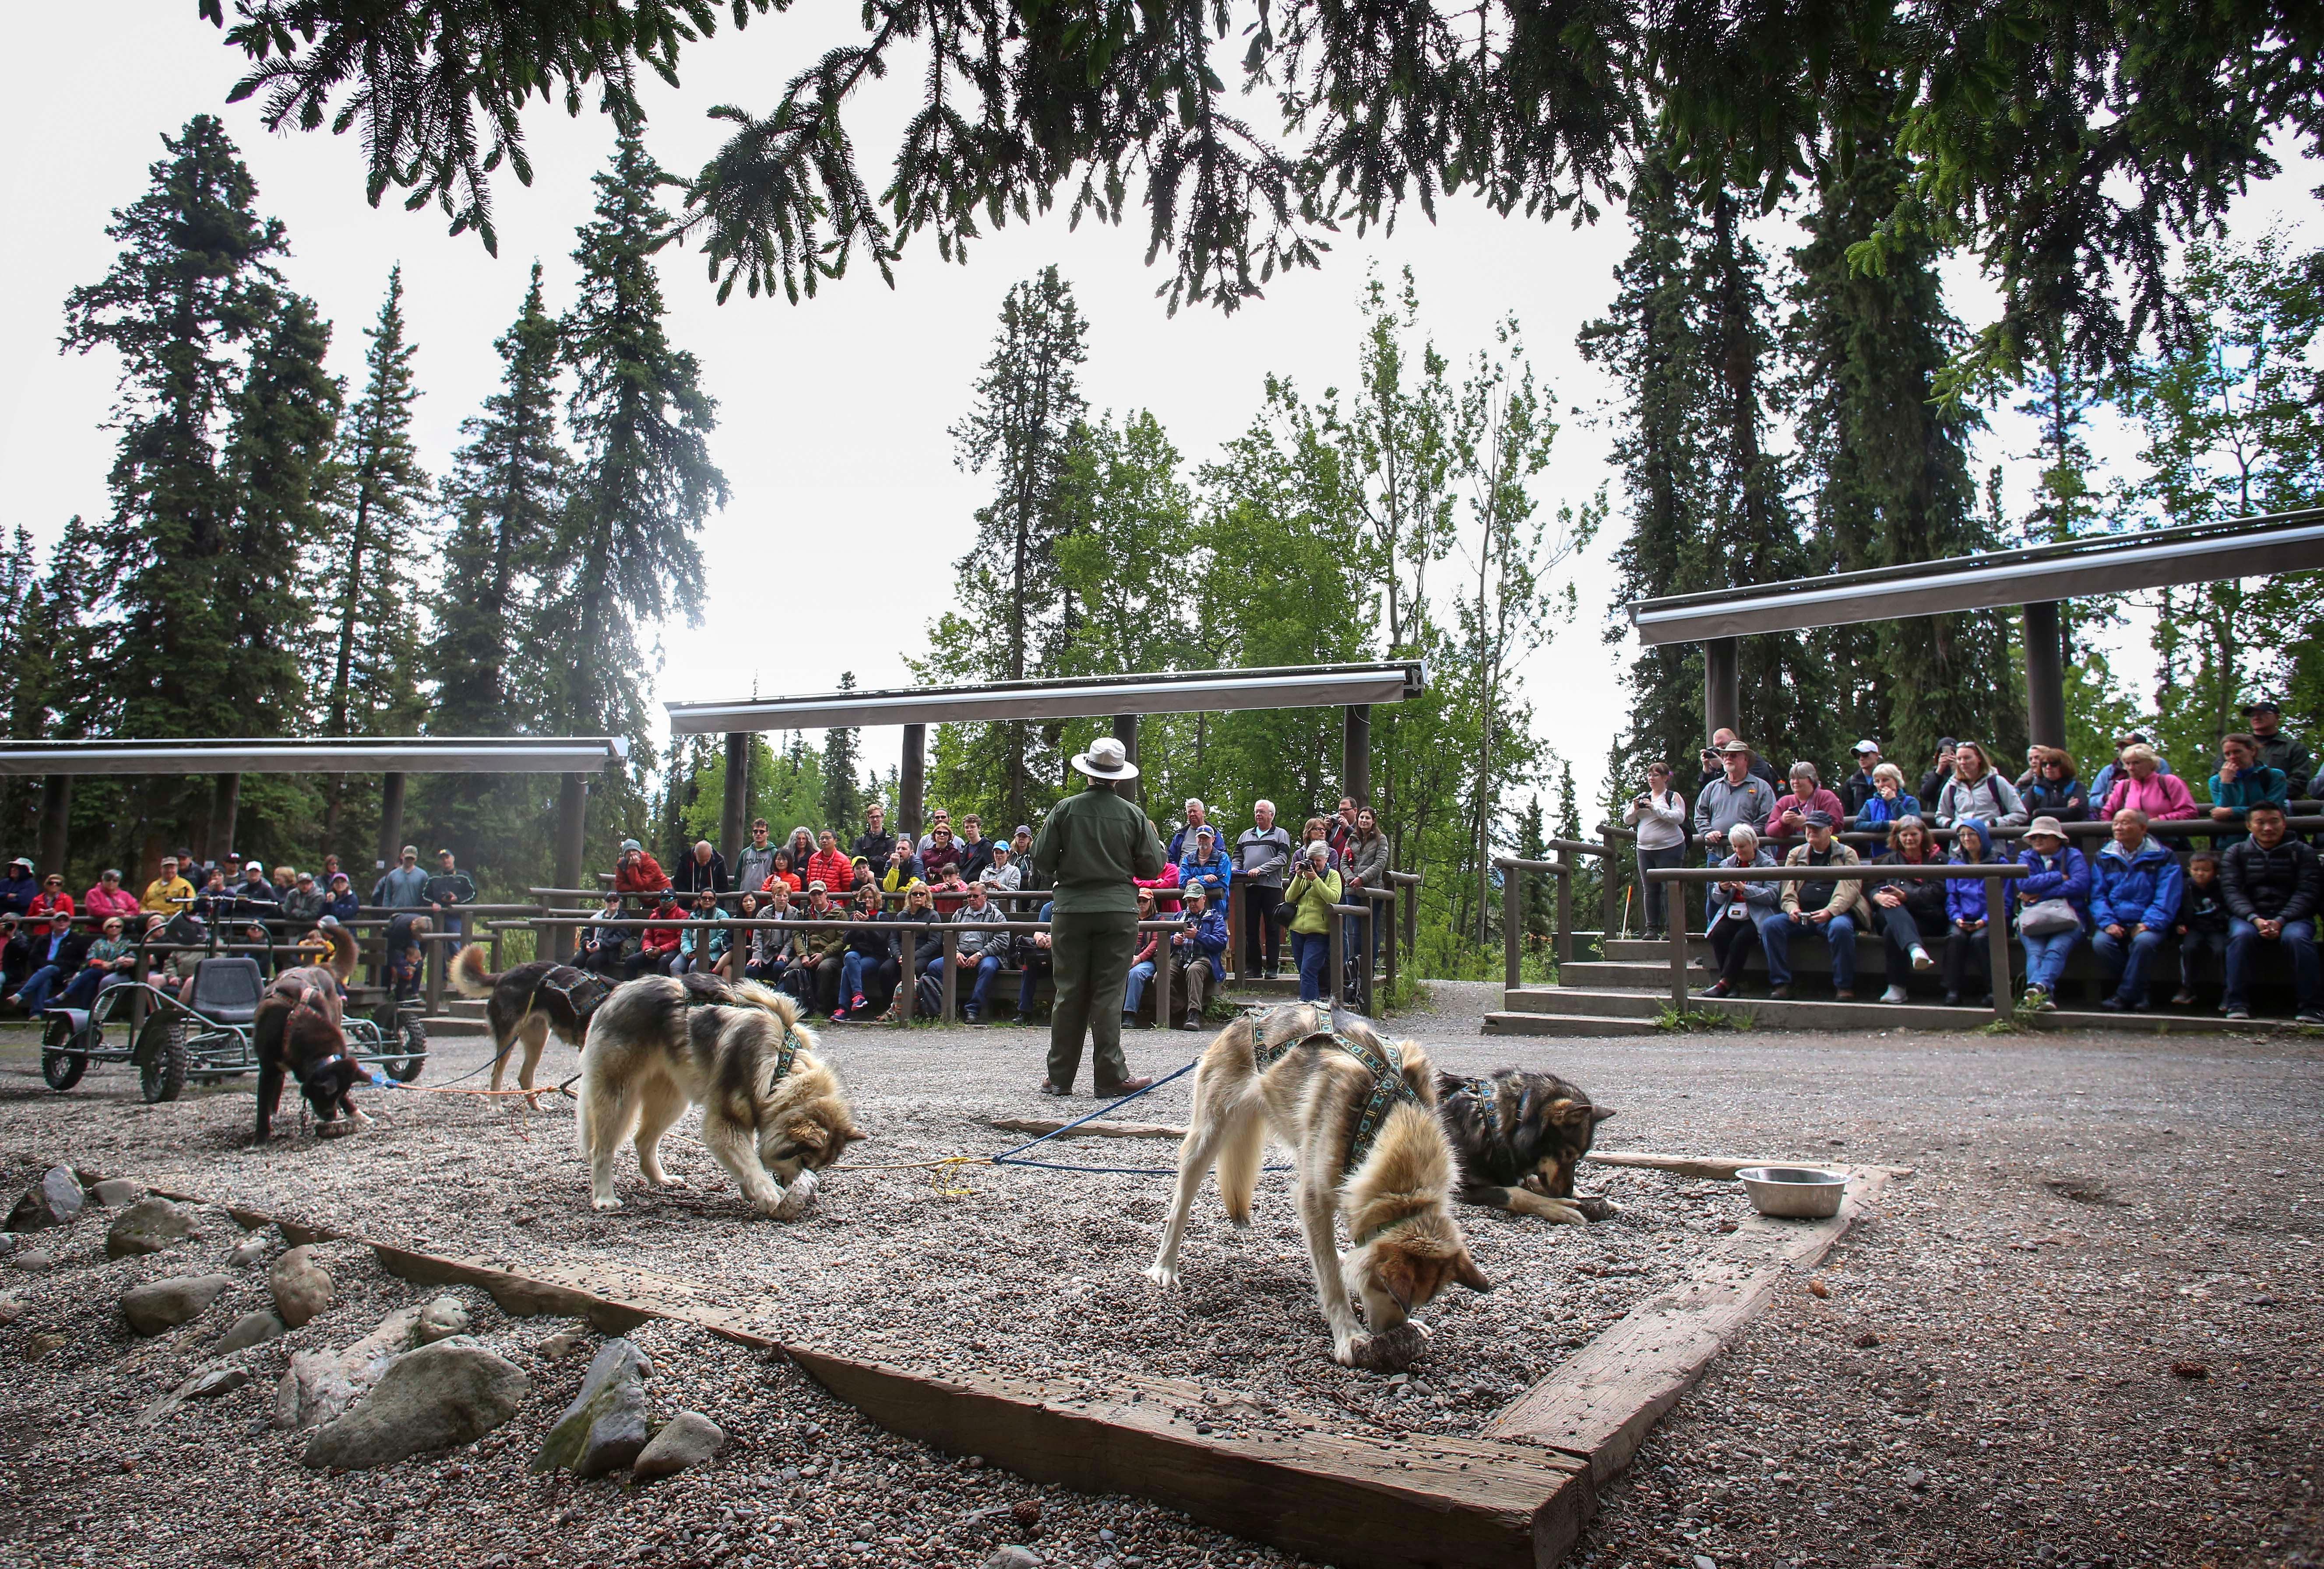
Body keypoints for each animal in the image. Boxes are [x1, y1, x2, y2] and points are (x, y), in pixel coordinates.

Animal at [257, 925, 365, 1148]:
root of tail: (321, 967)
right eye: (324, 1094)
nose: (332, 1116)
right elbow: (262, 1103)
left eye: (342, 1093)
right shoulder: (267, 1067)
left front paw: (354, 1112)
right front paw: (260, 1137)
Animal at [1431, 1069, 1617, 1227]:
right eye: (1568, 1154)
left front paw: (1610, 1202)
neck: (1492, 1124)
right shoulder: (1457, 1187)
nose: (1566, 1194)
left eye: (1578, 1159)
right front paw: (1558, 1207)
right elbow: (1516, 1193)